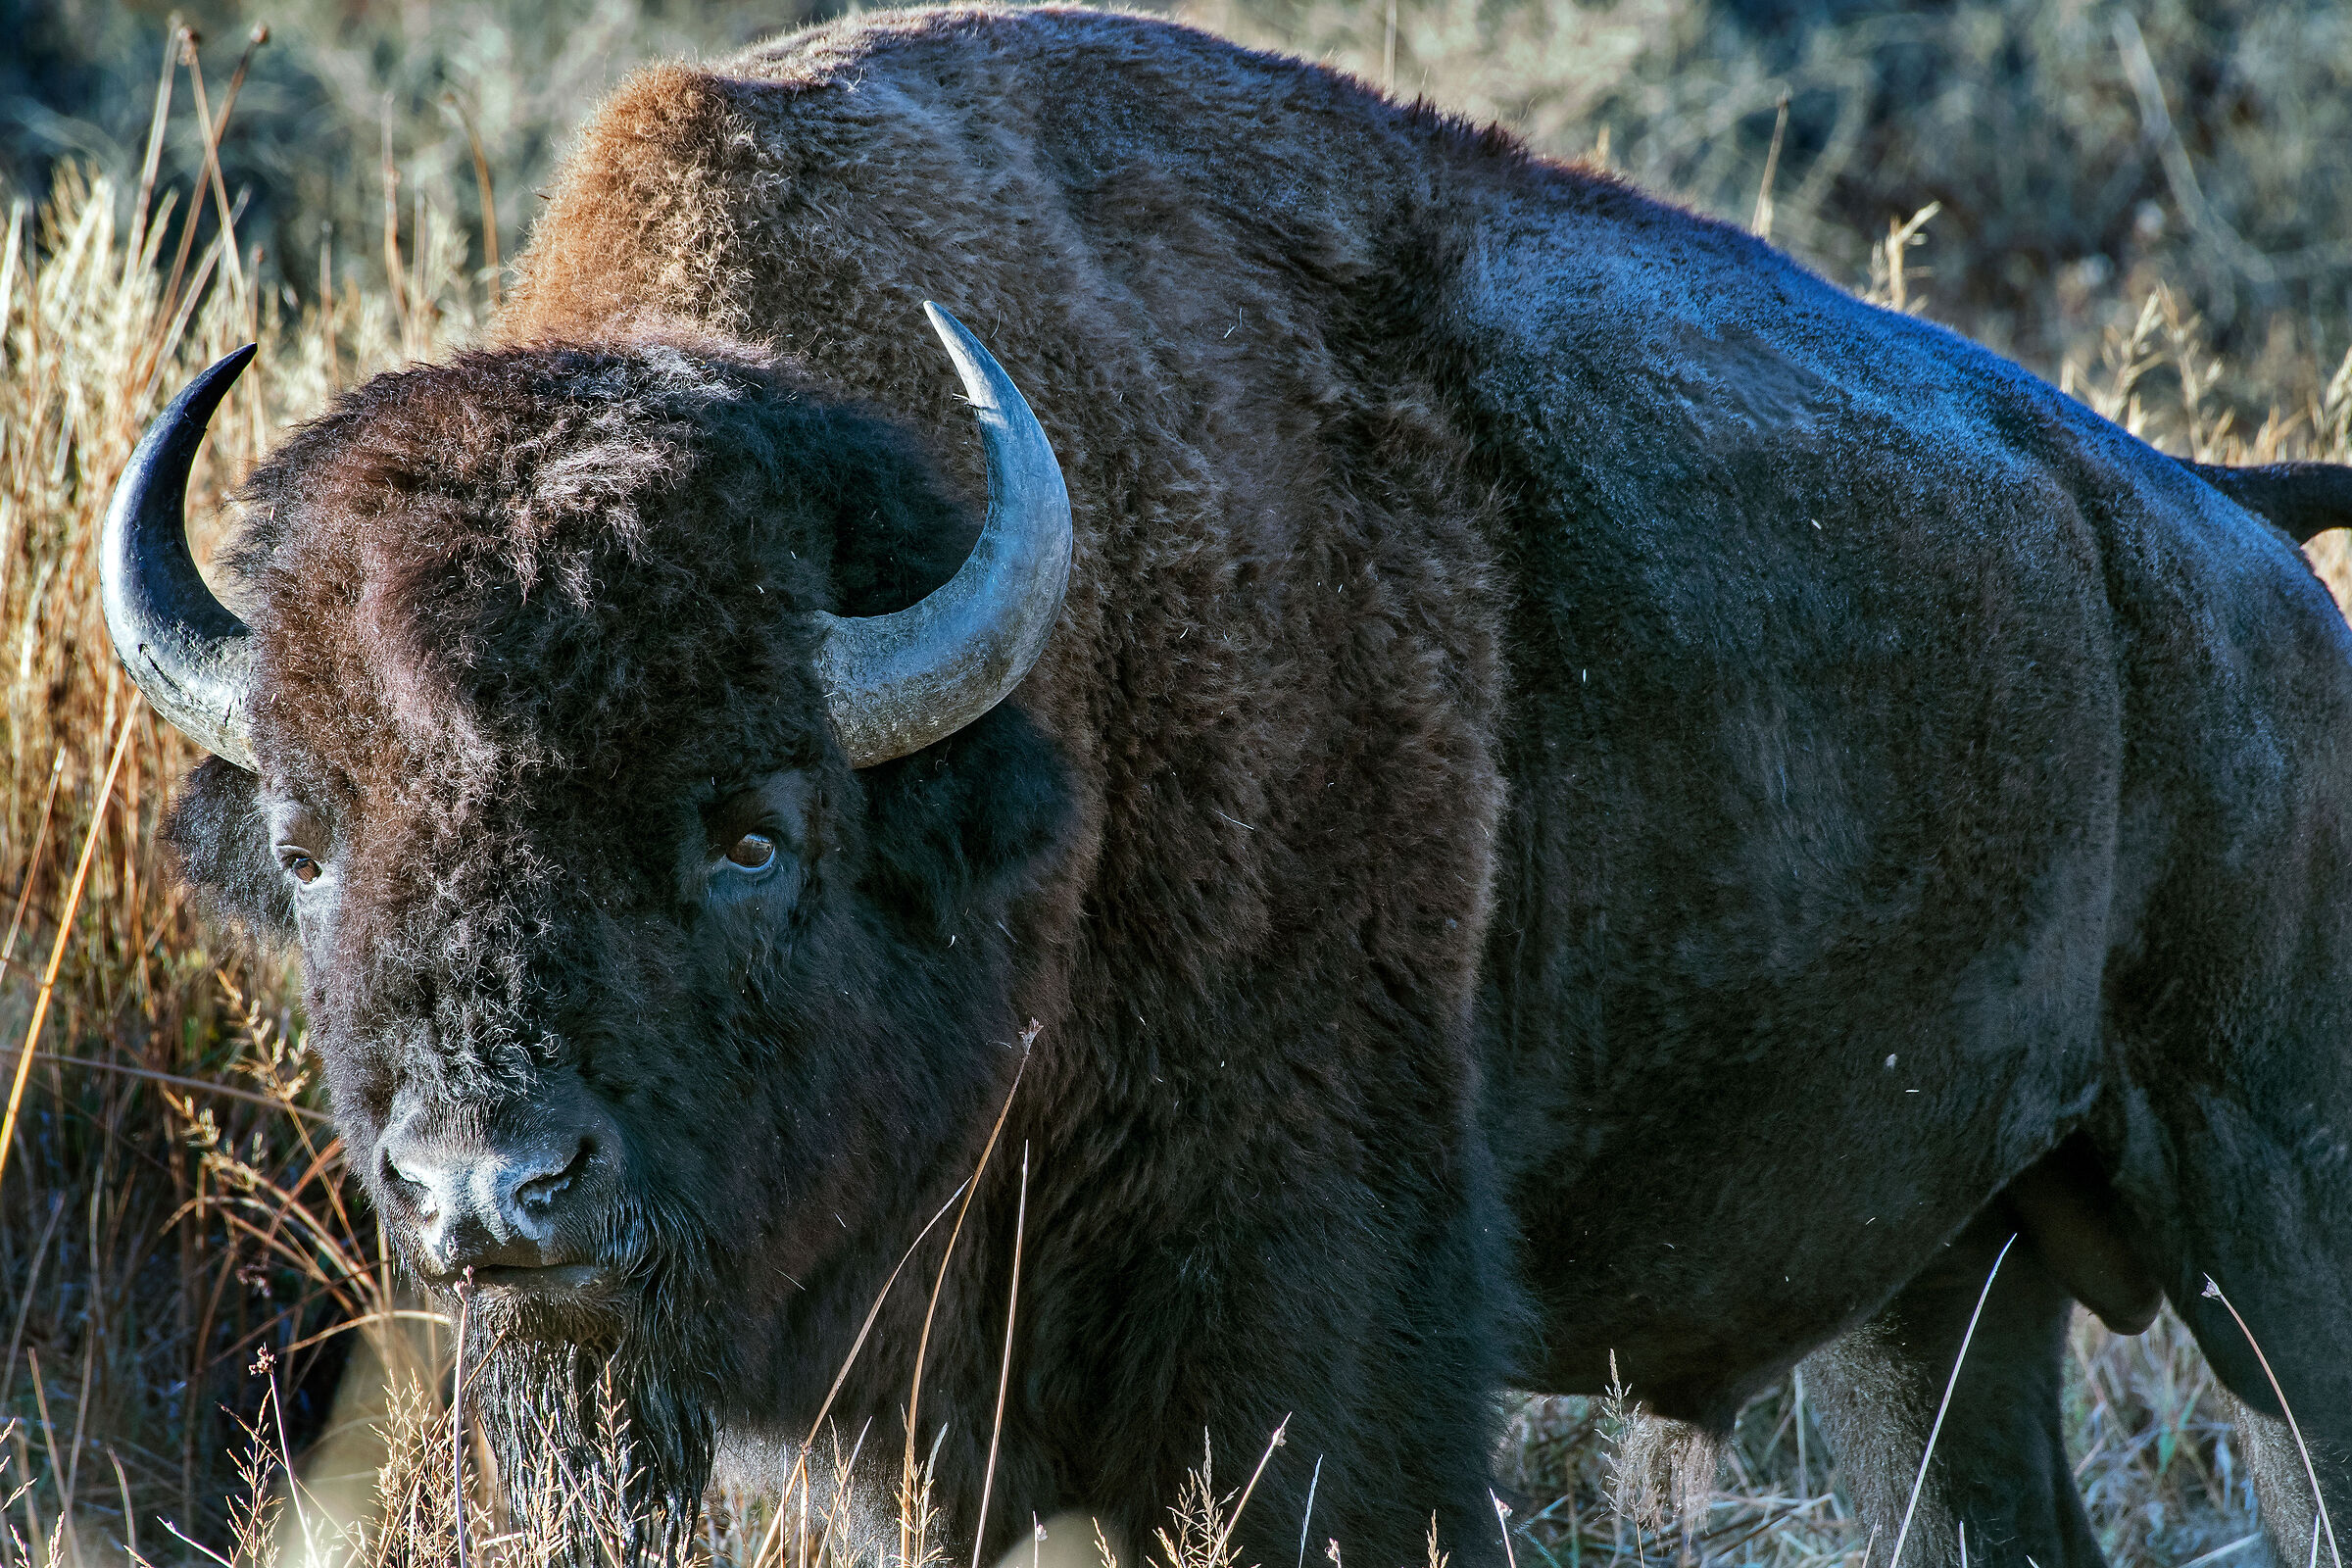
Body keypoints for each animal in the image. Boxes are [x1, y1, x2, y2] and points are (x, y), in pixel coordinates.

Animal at [107, 8, 2352, 1566]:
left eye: (751, 828)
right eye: (305, 840)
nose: (490, 1195)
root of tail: (2230, 536)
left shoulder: (1301, 1351)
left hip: (2269, 1210)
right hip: (1940, 1292)